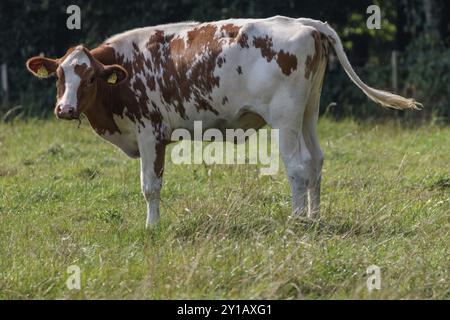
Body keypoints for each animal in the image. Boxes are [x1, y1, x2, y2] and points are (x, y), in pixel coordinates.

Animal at [26, 16, 422, 228]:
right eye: (59, 76)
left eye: (91, 77)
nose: (64, 109)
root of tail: (300, 23)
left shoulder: (150, 133)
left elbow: (150, 187)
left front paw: (152, 228)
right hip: (309, 110)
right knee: (317, 161)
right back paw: (313, 217)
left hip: (285, 117)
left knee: (298, 166)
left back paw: (297, 221)